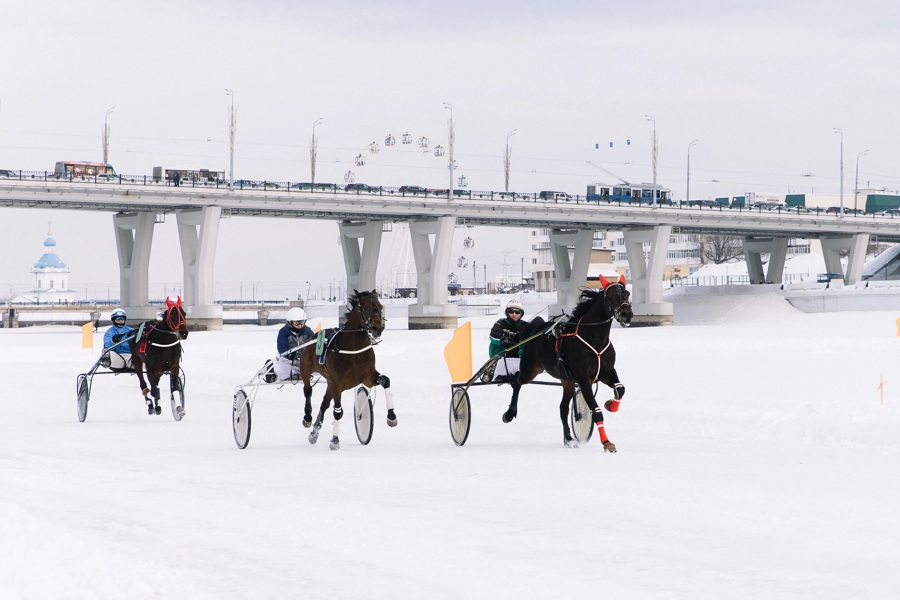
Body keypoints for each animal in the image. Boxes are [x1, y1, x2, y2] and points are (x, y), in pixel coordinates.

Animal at [300, 290, 396, 450]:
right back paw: (307, 418)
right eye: (364, 307)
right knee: (308, 391)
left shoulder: (368, 377)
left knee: (324, 404)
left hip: (329, 382)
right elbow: (338, 412)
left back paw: (314, 433)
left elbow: (386, 380)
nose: (377, 328)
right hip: (306, 369)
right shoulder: (338, 384)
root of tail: (313, 336)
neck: (354, 352)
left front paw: (392, 417)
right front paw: (334, 440)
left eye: (380, 306)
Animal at [512, 276, 632, 450]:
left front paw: (612, 405)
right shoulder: (583, 379)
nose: (626, 314)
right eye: (611, 295)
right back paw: (509, 413)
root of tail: (537, 329)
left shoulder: (606, 372)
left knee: (563, 408)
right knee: (516, 381)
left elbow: (620, 389)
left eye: (627, 293)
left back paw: (569, 438)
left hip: (566, 380)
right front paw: (607, 442)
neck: (594, 339)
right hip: (530, 369)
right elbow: (596, 411)